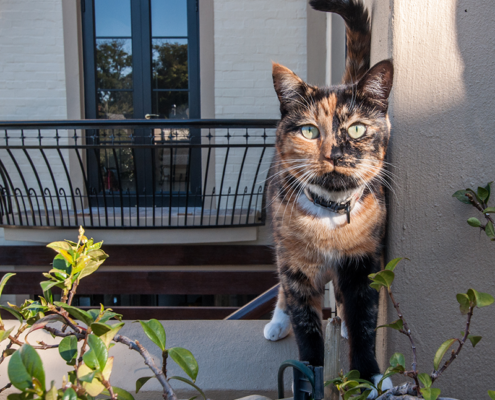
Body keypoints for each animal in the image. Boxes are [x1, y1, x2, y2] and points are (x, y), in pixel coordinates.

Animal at [264, 0, 396, 396]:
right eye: (309, 130)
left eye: (356, 129)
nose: (334, 153)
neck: (330, 215)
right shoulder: (296, 269)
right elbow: (307, 331)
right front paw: (308, 378)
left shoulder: (362, 263)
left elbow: (365, 323)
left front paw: (370, 376)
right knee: (282, 292)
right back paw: (278, 322)